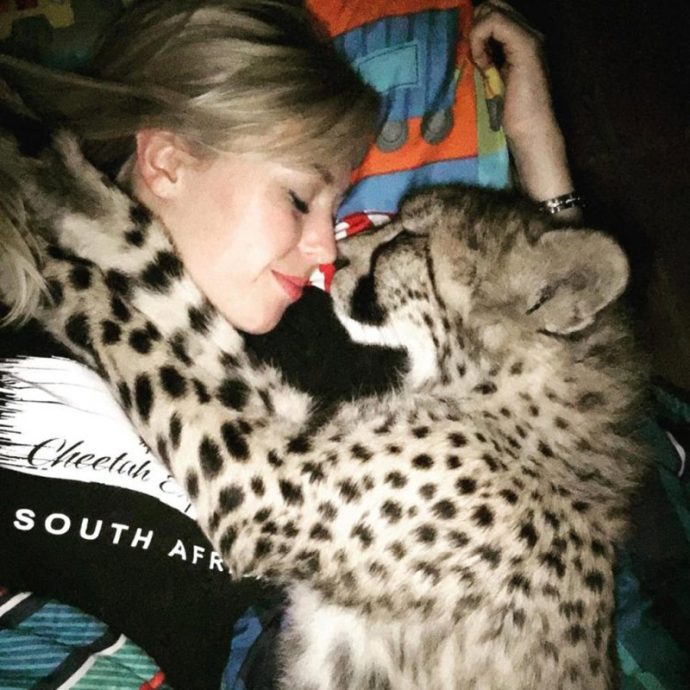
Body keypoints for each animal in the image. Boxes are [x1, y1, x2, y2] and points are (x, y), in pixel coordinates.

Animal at [4, 127, 649, 690]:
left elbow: (137, 328)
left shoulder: (264, 488)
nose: (331, 256)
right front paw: (76, 199)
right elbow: (181, 295)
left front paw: (48, 268)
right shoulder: (291, 425)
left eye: (406, 244)